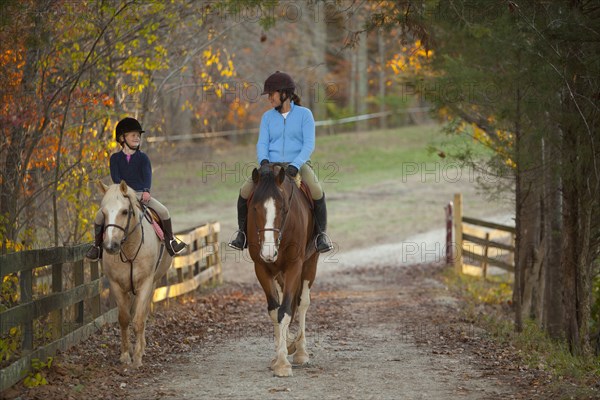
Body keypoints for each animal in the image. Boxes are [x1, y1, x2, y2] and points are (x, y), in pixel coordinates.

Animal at [96, 181, 171, 368]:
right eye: (103, 212)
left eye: (124, 211)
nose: (111, 246)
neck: (130, 248)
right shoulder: (116, 284)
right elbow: (124, 318)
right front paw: (125, 355)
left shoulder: (145, 283)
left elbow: (138, 320)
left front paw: (137, 358)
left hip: (153, 283)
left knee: (143, 314)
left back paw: (141, 348)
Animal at [246, 164, 318, 376]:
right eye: (254, 208)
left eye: (284, 208)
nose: (269, 251)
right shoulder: (261, 267)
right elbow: (275, 311)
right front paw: (279, 355)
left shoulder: (295, 266)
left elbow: (285, 311)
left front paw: (283, 363)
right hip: (278, 273)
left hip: (310, 263)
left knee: (302, 303)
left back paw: (301, 352)